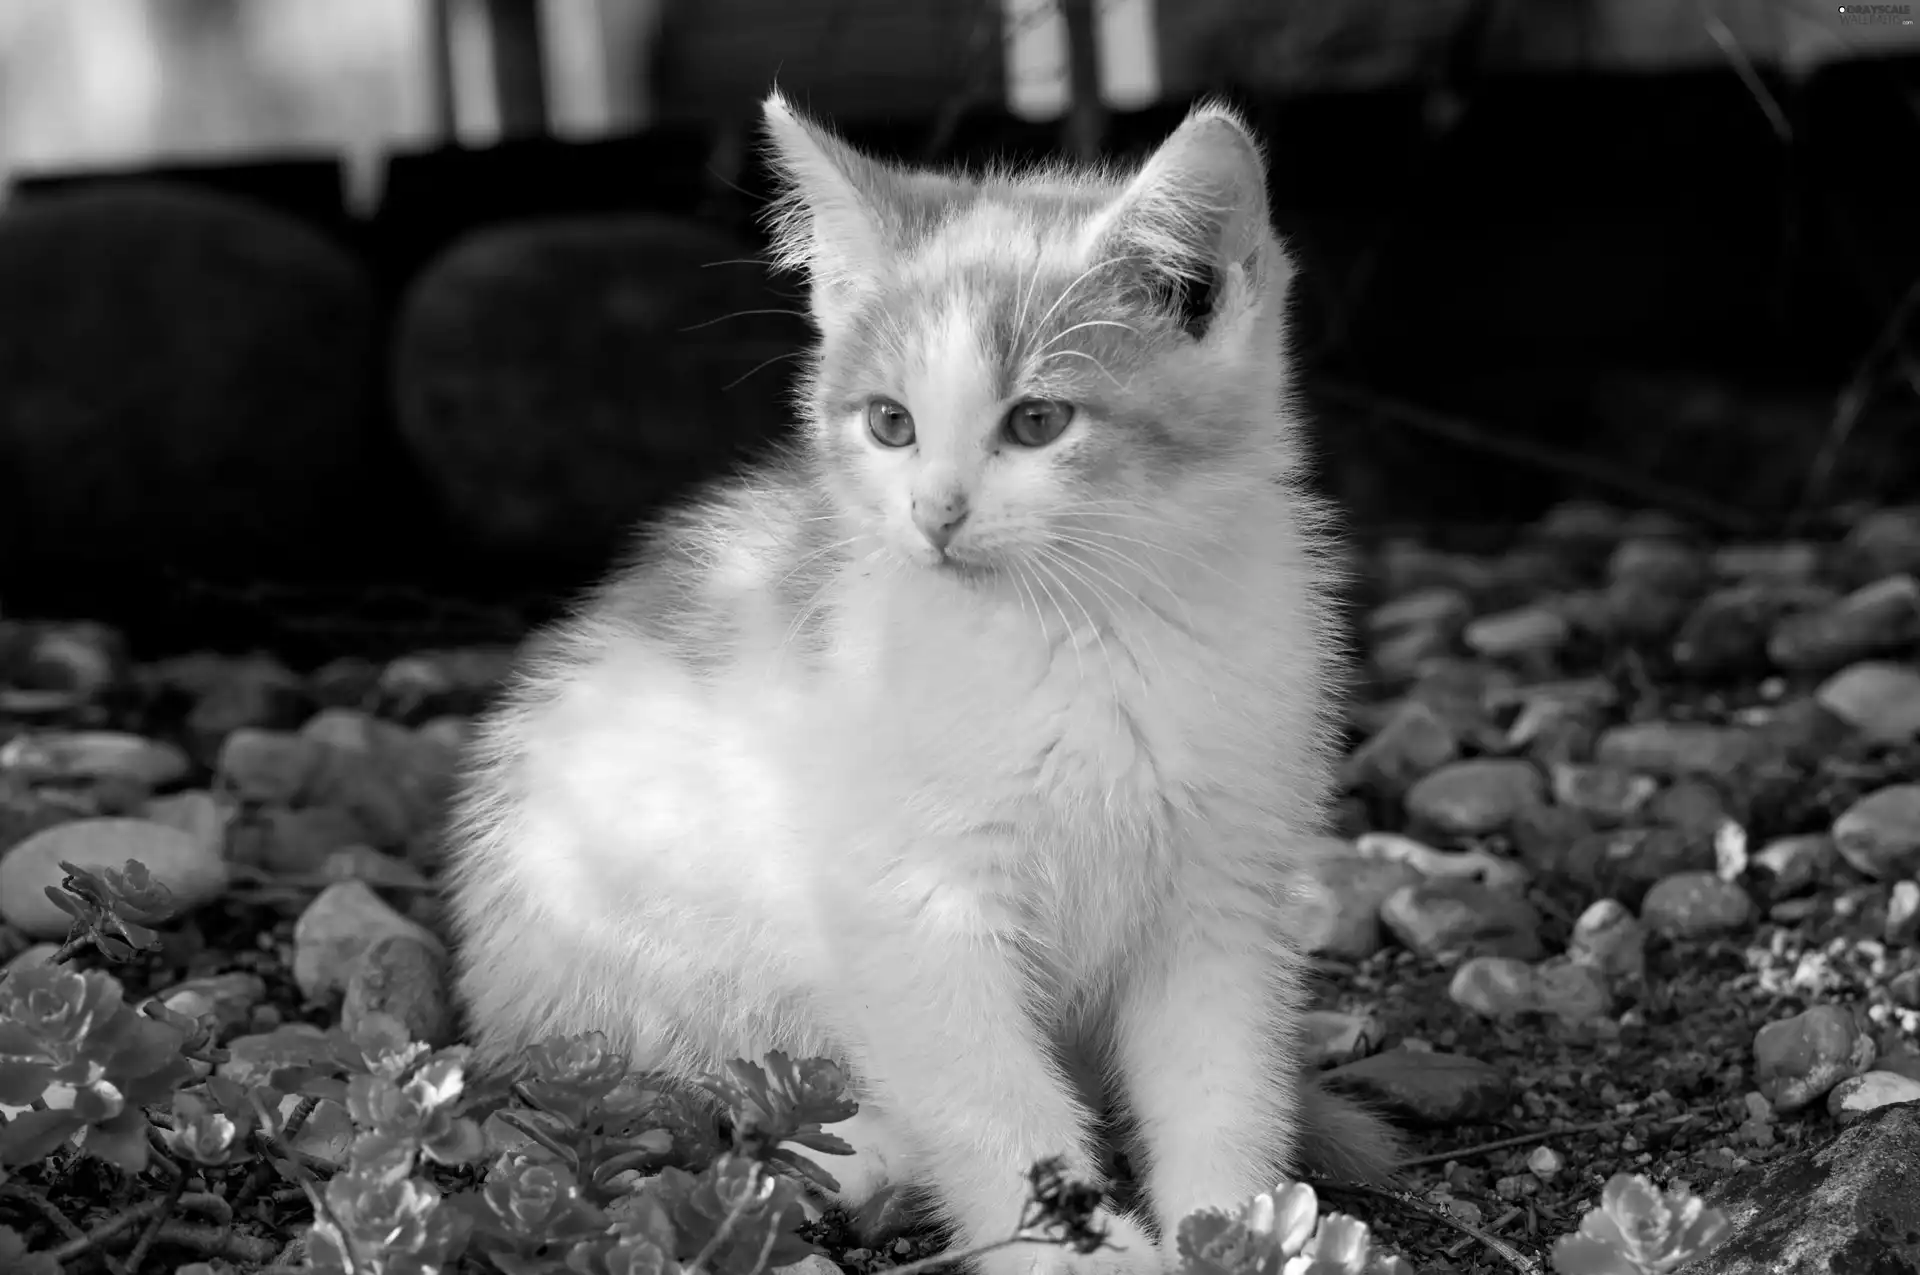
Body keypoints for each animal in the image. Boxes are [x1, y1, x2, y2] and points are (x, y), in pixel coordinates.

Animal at [447, 92, 1397, 1275]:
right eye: (890, 422)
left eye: (1038, 420)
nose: (933, 513)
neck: (1079, 630)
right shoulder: (910, 901)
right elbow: (986, 1095)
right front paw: (1075, 1249)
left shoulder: (1222, 885)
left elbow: (1221, 1076)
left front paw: (1232, 1229)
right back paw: (867, 1156)